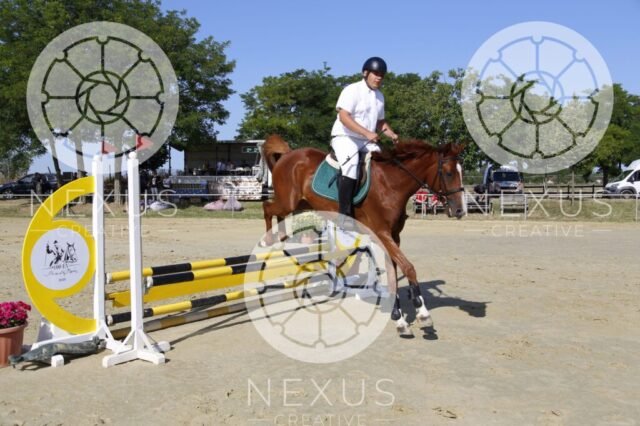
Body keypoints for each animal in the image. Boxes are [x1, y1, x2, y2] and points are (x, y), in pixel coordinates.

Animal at [261, 134, 466, 333]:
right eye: (449, 173)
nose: (460, 211)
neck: (392, 184)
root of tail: (289, 154)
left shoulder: (394, 237)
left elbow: (393, 273)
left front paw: (399, 319)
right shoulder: (383, 233)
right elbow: (408, 267)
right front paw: (422, 312)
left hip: (301, 204)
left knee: (278, 215)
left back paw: (280, 239)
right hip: (288, 202)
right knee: (268, 207)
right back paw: (268, 241)